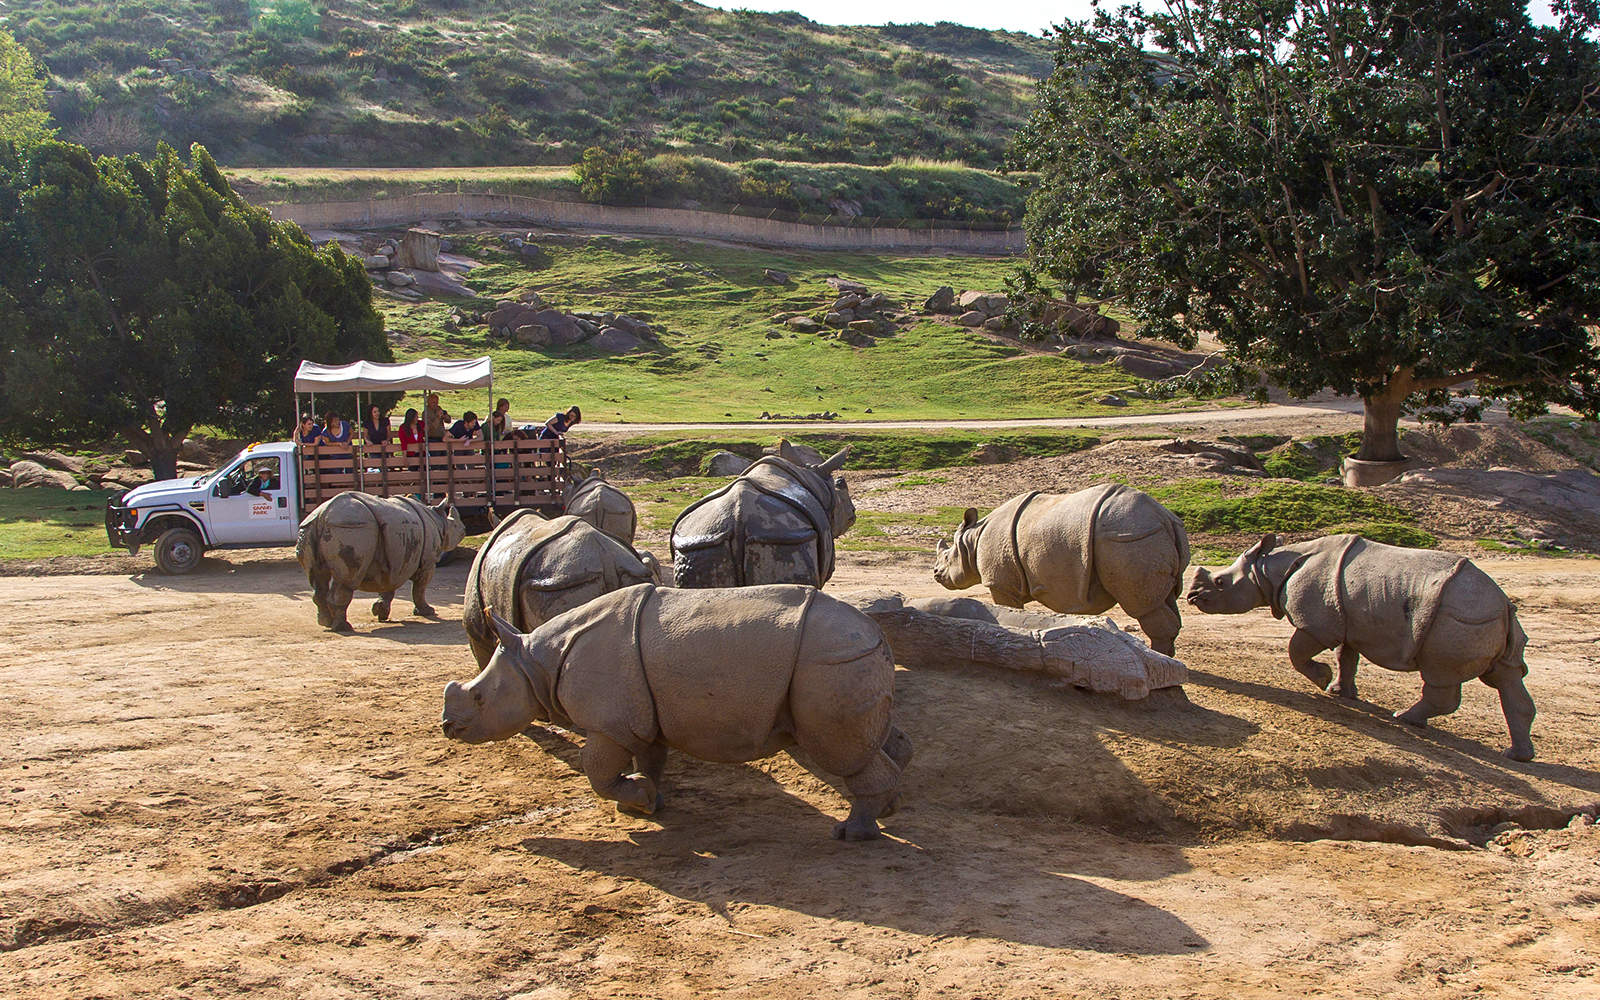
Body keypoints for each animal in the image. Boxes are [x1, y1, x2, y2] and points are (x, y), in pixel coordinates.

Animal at [295, 491, 466, 632]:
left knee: (317, 578)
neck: (439, 521)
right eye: (455, 525)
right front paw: (427, 612)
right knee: (346, 580)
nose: (464, 530)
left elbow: (387, 586)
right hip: (351, 528)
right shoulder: (427, 562)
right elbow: (420, 588)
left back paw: (325, 622)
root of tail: (323, 515)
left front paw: (380, 612)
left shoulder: (393, 562)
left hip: (309, 528)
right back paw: (343, 627)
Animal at [442, 584, 912, 840]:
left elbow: (596, 771)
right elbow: (649, 758)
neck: (536, 662)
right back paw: (887, 810)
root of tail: (875, 631)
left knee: (839, 751)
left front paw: (637, 800)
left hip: (827, 662)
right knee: (874, 739)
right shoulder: (640, 715)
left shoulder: (609, 723)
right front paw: (646, 802)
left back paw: (852, 834)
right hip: (845, 659)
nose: (447, 727)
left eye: (480, 698)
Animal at [932, 484, 1190, 655]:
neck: (971, 541)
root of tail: (1164, 516)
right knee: (1166, 598)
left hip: (1129, 537)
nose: (935, 574)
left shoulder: (1000, 583)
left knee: (1144, 604)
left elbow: (1007, 610)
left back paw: (1160, 657)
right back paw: (1167, 657)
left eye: (946, 557)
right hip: (1145, 533)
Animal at [1187, 534, 1536, 760]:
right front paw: (1340, 692)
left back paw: (1404, 718)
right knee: (1507, 676)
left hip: (1458, 618)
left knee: (1441, 675)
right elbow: (1347, 657)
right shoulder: (1346, 619)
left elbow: (1297, 651)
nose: (1191, 597)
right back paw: (1517, 756)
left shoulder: (1317, 622)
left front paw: (1322, 679)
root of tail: (1504, 605)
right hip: (1483, 617)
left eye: (1220, 583)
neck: (1267, 570)